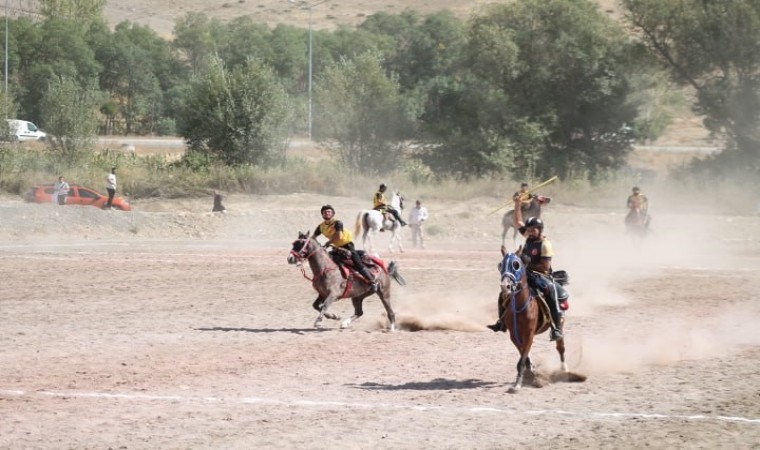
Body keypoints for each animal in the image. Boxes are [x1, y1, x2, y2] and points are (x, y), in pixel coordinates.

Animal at [496, 248, 568, 392]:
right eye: (501, 264)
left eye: (516, 264)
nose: (505, 286)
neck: (520, 306)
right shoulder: (514, 335)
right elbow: (524, 354)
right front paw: (531, 371)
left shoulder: (529, 334)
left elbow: (523, 357)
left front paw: (517, 384)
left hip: (560, 324)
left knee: (560, 346)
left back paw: (565, 369)